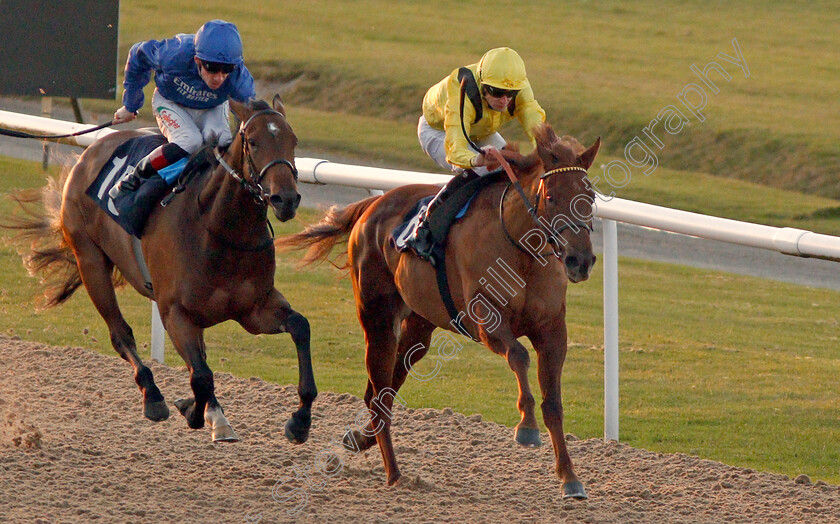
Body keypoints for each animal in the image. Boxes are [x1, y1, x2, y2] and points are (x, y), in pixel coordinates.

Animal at [4, 97, 316, 442]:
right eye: (254, 141)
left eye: (293, 141)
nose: (285, 198)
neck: (218, 228)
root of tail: (89, 152)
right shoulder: (175, 312)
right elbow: (201, 376)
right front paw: (194, 412)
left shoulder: (254, 309)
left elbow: (300, 326)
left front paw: (299, 420)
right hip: (90, 261)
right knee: (121, 334)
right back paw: (153, 395)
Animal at [278, 124, 600, 500]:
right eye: (551, 198)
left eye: (590, 197)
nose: (580, 260)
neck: (522, 249)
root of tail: (372, 205)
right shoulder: (485, 319)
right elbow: (519, 355)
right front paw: (526, 427)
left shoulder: (552, 331)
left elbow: (554, 404)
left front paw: (570, 478)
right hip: (377, 317)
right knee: (379, 393)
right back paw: (394, 473)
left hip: (419, 325)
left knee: (384, 388)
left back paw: (360, 439)